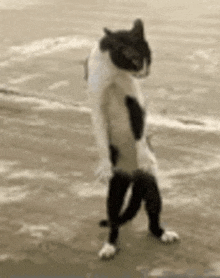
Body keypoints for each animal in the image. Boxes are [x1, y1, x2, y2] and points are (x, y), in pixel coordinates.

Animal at [85, 18, 179, 260]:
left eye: (150, 59)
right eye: (137, 60)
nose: (146, 72)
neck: (114, 73)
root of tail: (133, 175)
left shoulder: (135, 104)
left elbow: (139, 133)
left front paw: (145, 156)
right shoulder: (96, 105)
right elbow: (100, 137)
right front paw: (104, 166)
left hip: (152, 188)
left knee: (153, 218)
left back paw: (164, 234)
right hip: (115, 190)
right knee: (114, 220)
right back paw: (109, 246)